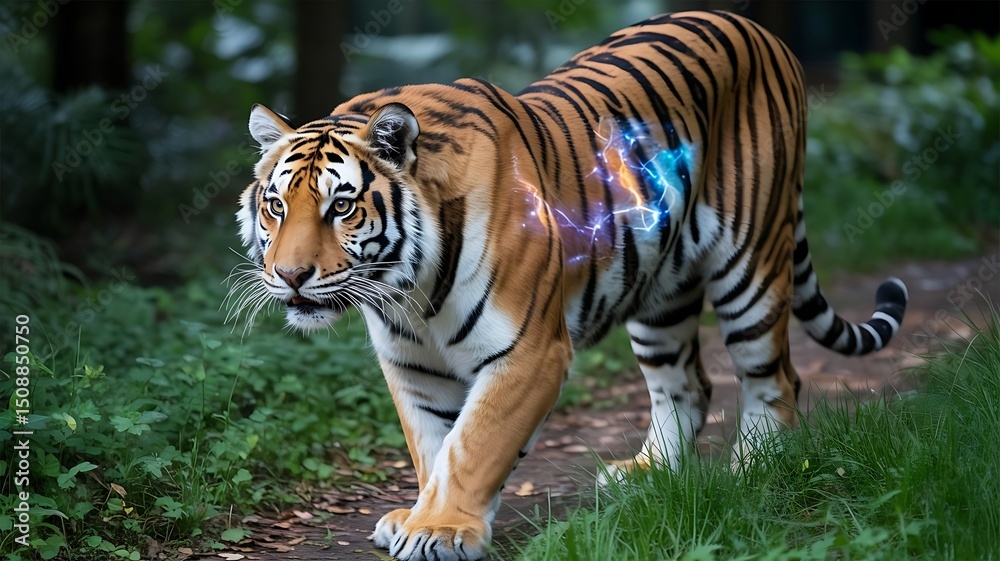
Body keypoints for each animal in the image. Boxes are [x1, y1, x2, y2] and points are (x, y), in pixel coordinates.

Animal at [234, 10, 908, 561]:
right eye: (275, 206)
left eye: (341, 207)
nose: (290, 276)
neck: (408, 291)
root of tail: (760, 29)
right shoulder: (411, 363)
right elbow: (431, 443)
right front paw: (420, 515)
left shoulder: (528, 352)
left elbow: (473, 443)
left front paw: (440, 530)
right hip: (660, 293)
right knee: (686, 384)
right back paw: (647, 473)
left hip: (751, 261)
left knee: (775, 377)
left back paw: (752, 475)